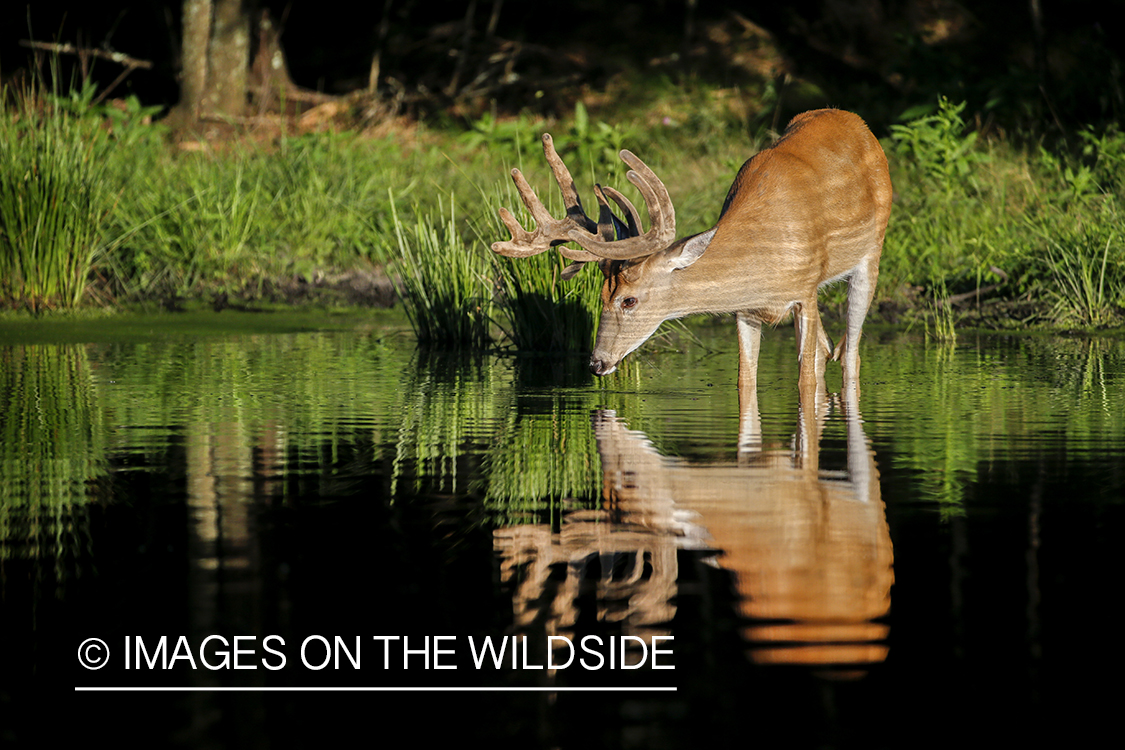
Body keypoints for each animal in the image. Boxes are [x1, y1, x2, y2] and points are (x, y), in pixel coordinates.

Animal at [488, 109, 891, 402]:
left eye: (629, 300)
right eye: (600, 295)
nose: (596, 363)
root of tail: (856, 121)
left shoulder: (805, 291)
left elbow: (805, 379)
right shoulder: (745, 309)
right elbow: (745, 380)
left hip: (872, 253)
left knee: (850, 353)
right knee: (827, 349)